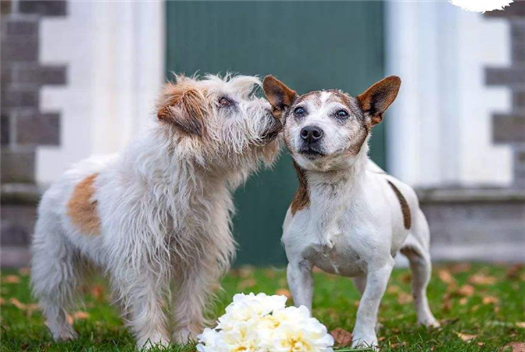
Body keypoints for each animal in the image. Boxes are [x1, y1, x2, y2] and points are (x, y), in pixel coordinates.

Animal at [29, 73, 282, 348]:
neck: (190, 178)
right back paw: (62, 333)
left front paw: (186, 338)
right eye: (224, 101)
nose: (277, 111)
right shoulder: (142, 260)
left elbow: (189, 302)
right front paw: (153, 342)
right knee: (55, 300)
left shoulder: (197, 258)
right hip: (57, 262)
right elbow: (148, 304)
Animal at [262, 75, 438, 348]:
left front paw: (364, 340)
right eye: (300, 112)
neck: (331, 192)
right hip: (360, 274)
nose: (310, 131)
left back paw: (426, 321)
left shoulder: (380, 266)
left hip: (420, 261)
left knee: (418, 292)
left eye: (341, 113)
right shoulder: (298, 268)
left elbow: (366, 307)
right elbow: (304, 307)